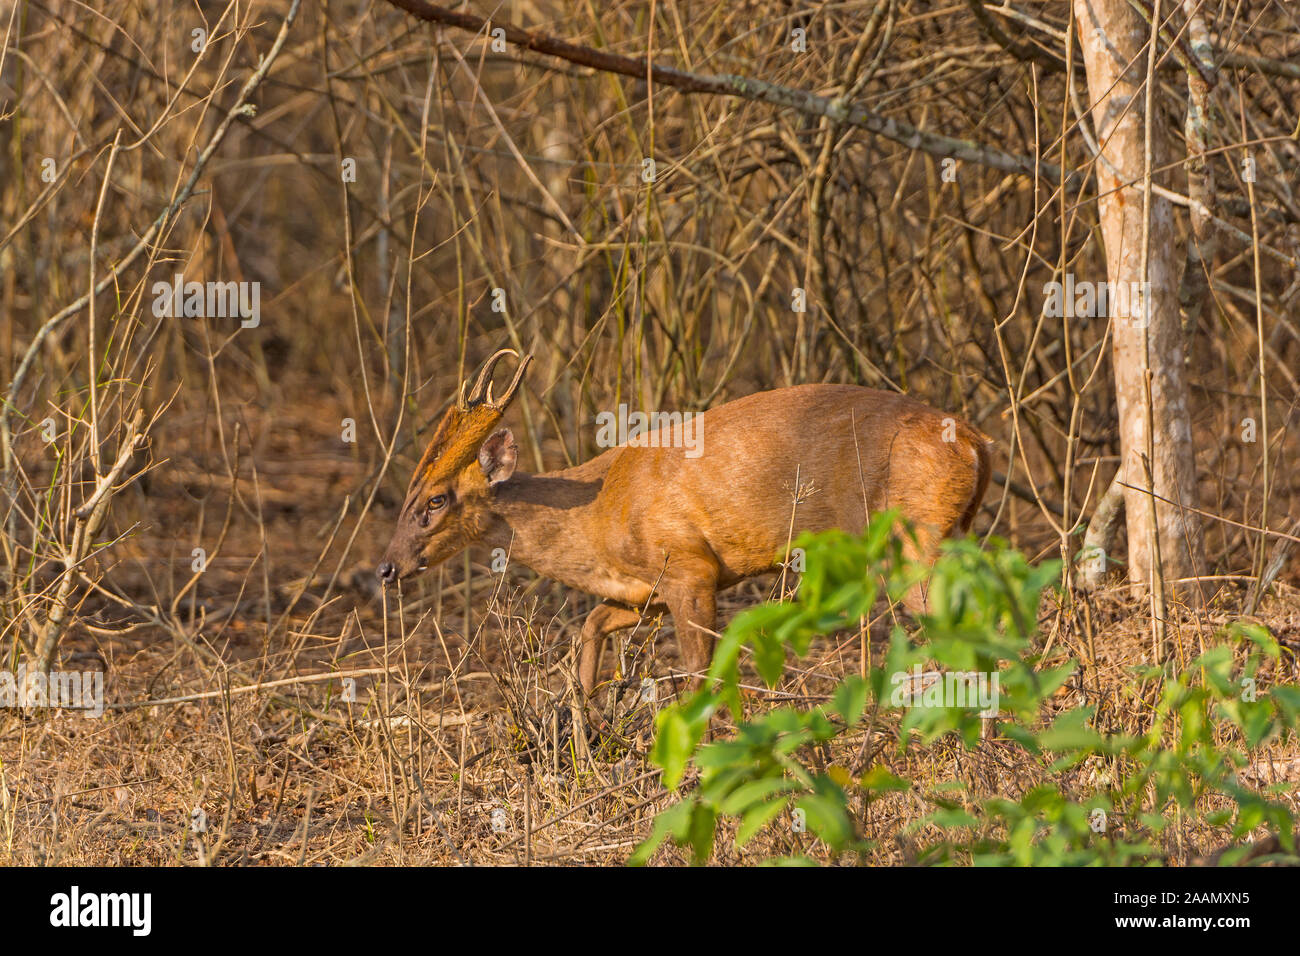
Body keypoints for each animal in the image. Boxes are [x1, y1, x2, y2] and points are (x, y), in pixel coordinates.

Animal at [379, 348, 987, 697]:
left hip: (916, 538)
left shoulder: (690, 568)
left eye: (436, 500)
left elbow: (701, 673)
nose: (387, 567)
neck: (597, 516)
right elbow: (589, 627)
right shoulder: (644, 591)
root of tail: (977, 443)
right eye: (407, 494)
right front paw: (585, 732)